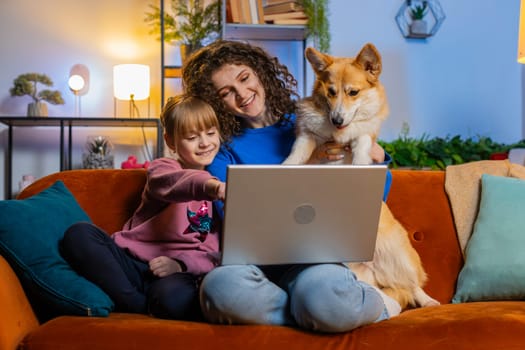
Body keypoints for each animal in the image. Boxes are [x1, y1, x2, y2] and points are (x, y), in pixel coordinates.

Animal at [284, 43, 436, 308]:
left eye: (353, 92)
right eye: (331, 92)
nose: (337, 119)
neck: (336, 133)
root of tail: (370, 268)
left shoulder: (364, 135)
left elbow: (361, 143)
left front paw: (359, 163)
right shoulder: (307, 136)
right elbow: (297, 153)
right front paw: (287, 165)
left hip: (398, 253)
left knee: (411, 284)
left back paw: (428, 302)